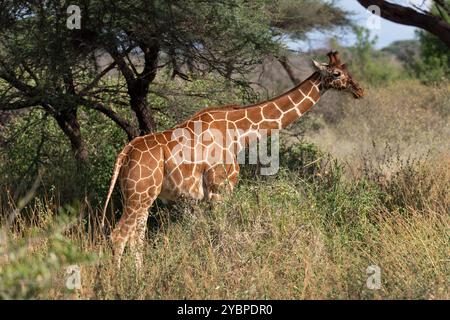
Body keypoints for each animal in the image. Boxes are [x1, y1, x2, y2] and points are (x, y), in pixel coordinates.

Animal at [101, 51, 362, 268]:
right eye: (337, 73)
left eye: (347, 71)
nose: (359, 90)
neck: (239, 133)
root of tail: (124, 153)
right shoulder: (221, 189)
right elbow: (219, 232)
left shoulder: (204, 196)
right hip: (139, 195)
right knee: (119, 235)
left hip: (141, 195)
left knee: (136, 238)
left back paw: (138, 276)